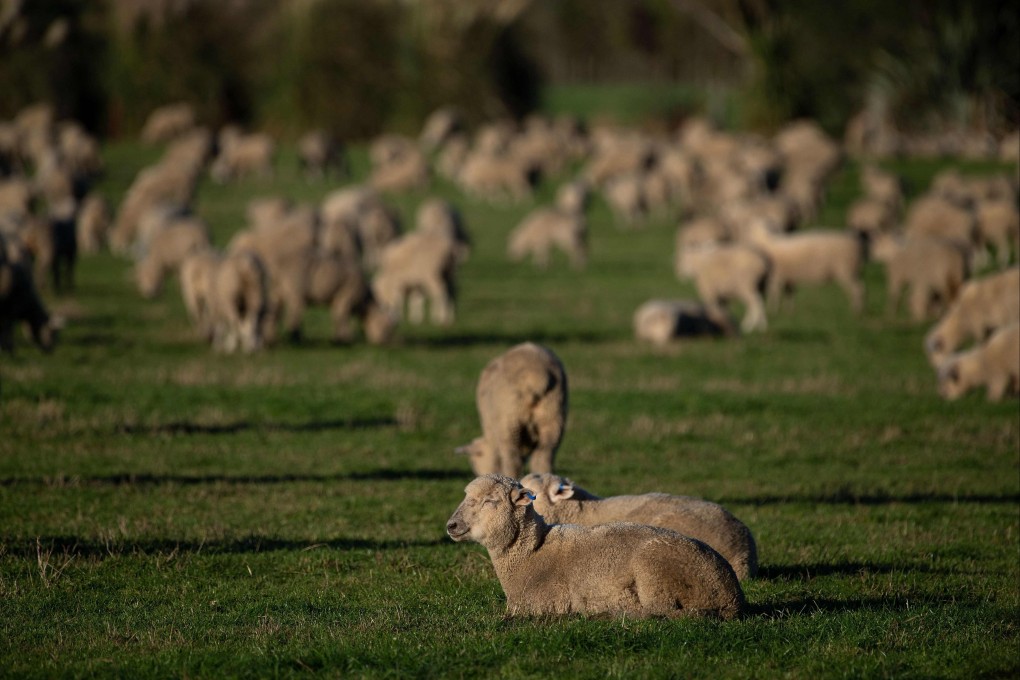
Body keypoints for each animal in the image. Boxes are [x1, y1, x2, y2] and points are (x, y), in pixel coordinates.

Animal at [455, 342, 567, 479]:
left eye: (474, 462)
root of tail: (535, 376)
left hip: (509, 420)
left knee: (513, 459)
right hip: (553, 414)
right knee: (544, 456)